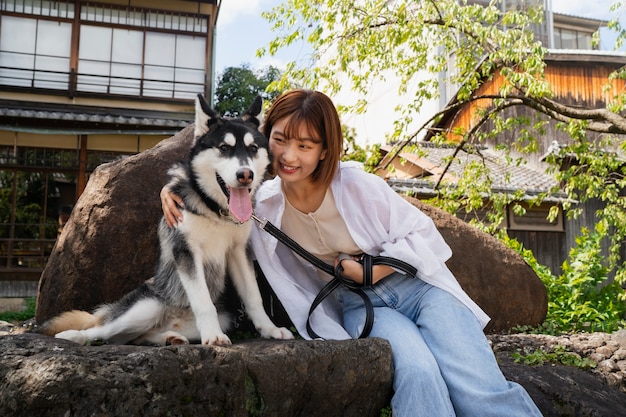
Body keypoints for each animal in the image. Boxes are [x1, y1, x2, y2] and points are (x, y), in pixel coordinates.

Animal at [39, 94, 292, 344]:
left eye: (253, 148)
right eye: (223, 147)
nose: (245, 175)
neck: (214, 209)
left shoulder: (239, 250)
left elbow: (253, 297)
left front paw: (270, 329)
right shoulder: (186, 250)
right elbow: (203, 302)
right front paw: (213, 335)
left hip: (222, 318)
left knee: (136, 337)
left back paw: (170, 337)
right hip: (145, 307)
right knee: (105, 332)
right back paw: (74, 335)